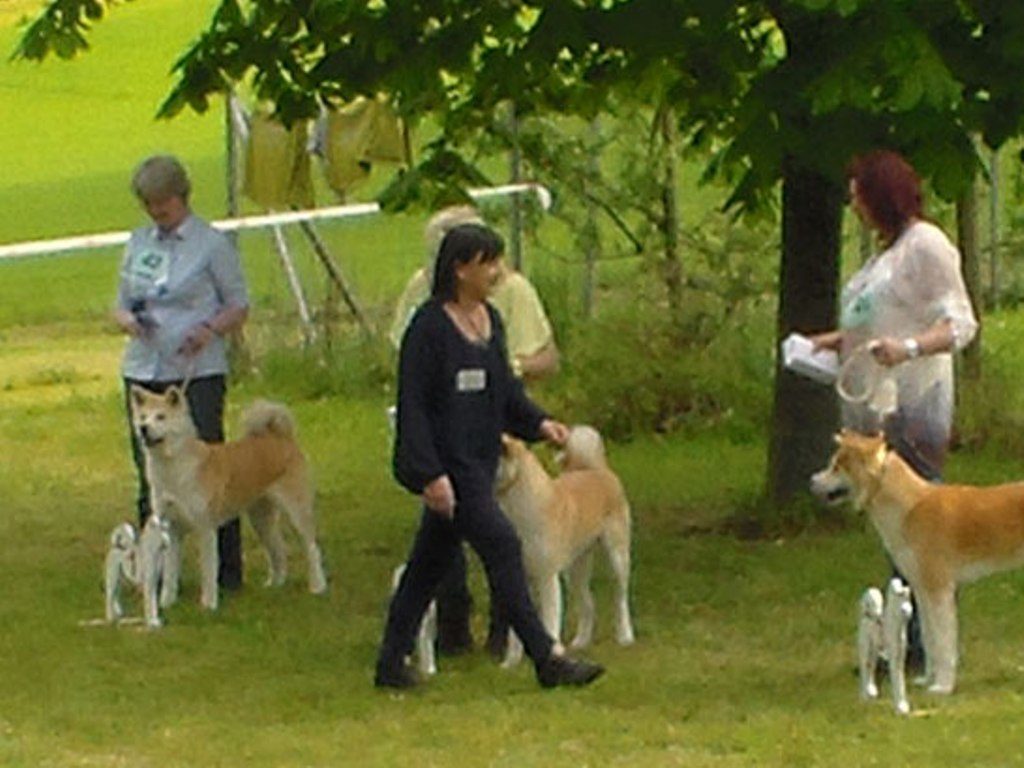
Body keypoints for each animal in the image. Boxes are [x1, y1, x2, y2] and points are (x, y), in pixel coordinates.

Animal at [130, 385, 325, 626]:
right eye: (142, 417)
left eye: (161, 417)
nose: (143, 429)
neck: (174, 471)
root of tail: (281, 437)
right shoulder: (171, 529)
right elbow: (170, 573)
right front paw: (167, 603)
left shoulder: (205, 528)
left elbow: (208, 570)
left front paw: (208, 604)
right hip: (260, 519)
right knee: (278, 549)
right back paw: (275, 585)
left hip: (296, 512)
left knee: (312, 548)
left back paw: (318, 586)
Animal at [493, 428, 630, 667]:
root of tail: (598, 470)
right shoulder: (517, 575)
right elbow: (515, 631)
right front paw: (510, 663)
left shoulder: (547, 577)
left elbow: (549, 622)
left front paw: (554, 655)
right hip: (575, 569)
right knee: (588, 603)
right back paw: (581, 641)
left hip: (617, 557)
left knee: (620, 598)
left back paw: (625, 636)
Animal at [815, 434, 1024, 696]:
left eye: (836, 467)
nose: (812, 482)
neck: (908, 509)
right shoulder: (922, 591)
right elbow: (929, 639)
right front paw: (927, 679)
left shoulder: (939, 591)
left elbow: (944, 643)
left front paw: (943, 686)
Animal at [856, 581, 913, 720]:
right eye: (899, 598)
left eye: (909, 598)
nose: (908, 611)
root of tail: (866, 614)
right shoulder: (893, 659)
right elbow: (896, 680)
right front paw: (898, 708)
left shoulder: (900, 658)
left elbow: (901, 681)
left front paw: (904, 706)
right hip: (865, 648)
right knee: (864, 668)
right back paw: (864, 697)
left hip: (874, 652)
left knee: (870, 668)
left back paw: (871, 691)